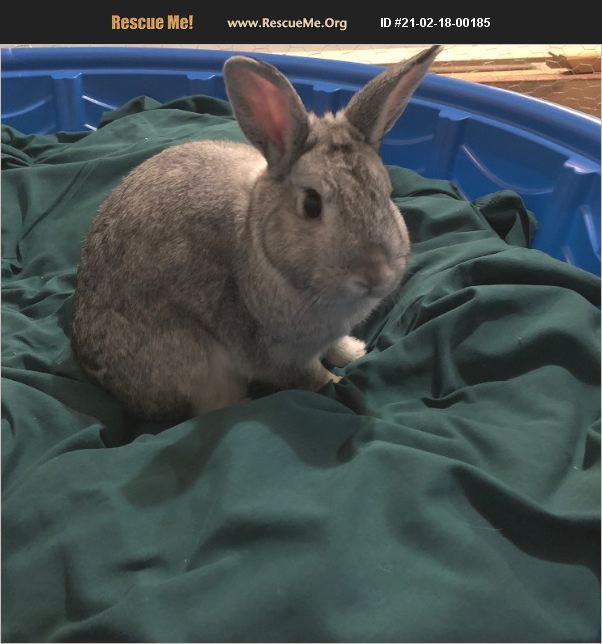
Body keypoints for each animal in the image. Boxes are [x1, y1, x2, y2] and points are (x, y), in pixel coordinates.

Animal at [71, 45, 442, 421]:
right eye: (311, 204)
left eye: (386, 192)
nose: (375, 274)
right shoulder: (280, 355)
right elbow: (311, 377)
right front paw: (338, 382)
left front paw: (355, 351)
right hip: (196, 367)